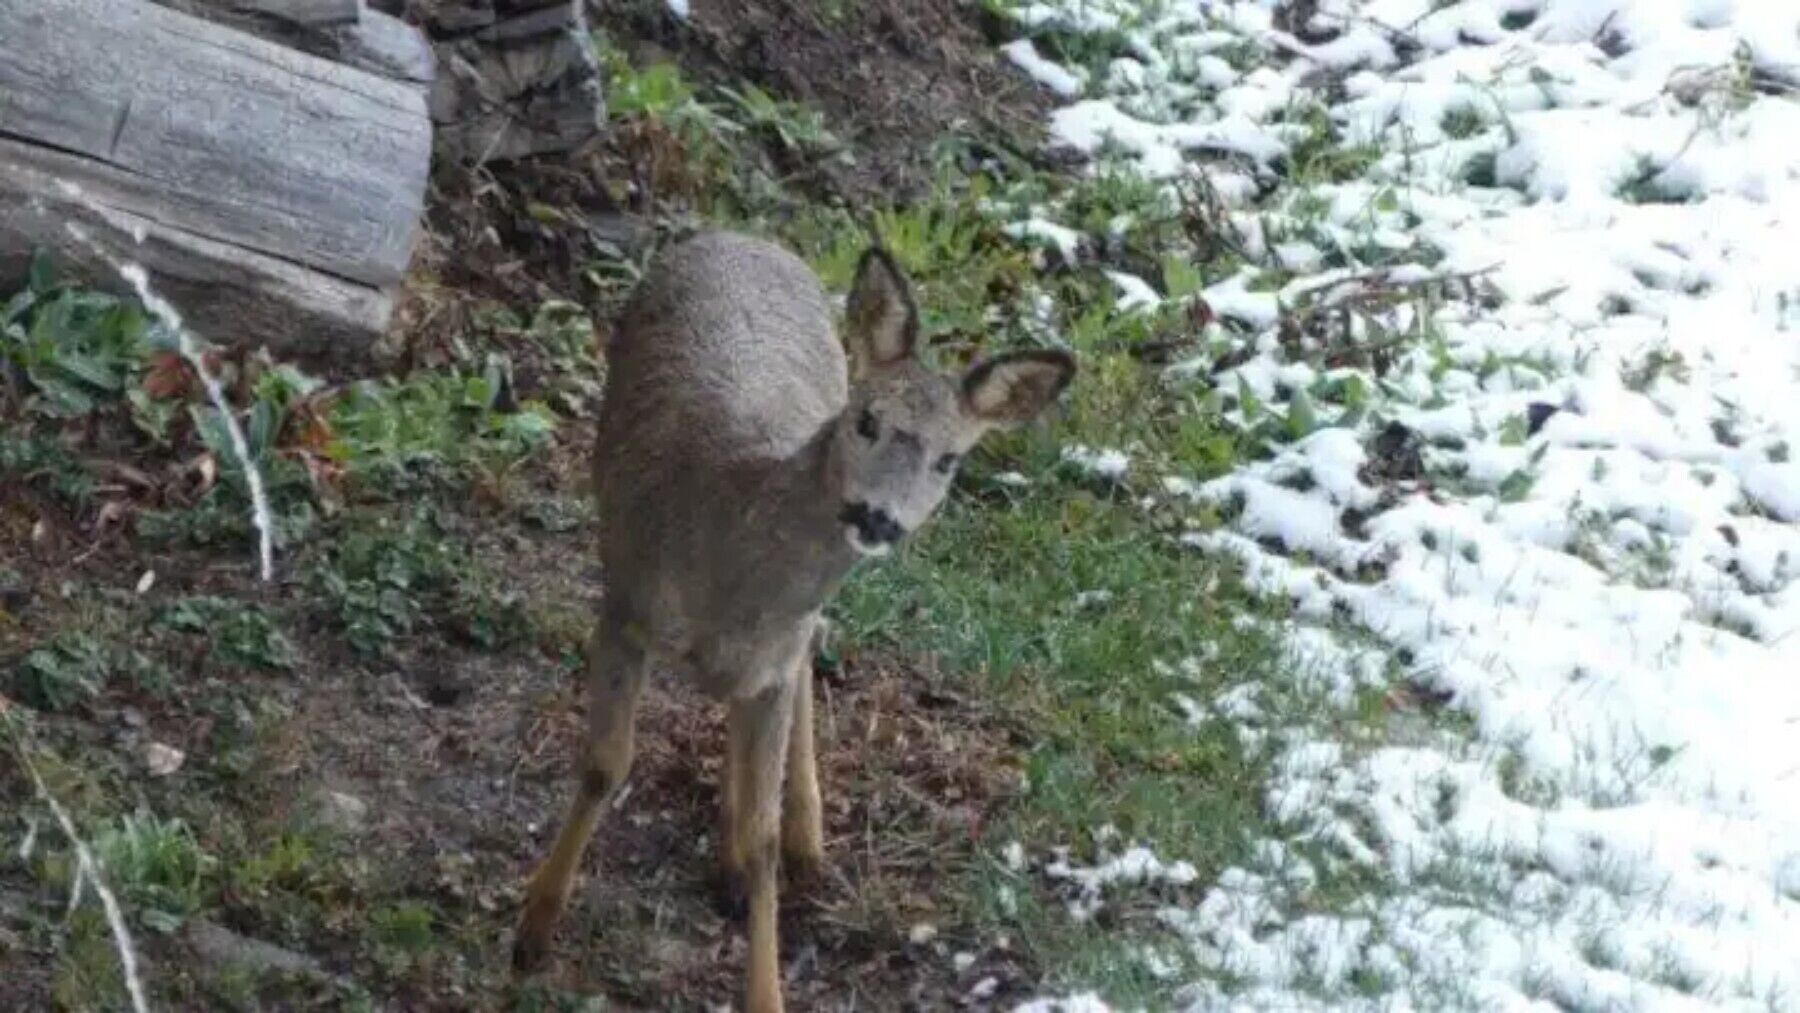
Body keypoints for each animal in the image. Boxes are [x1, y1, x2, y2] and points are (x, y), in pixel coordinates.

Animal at [511, 230, 1075, 1012]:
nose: (877, 517)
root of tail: (744, 237)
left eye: (949, 460)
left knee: (801, 671)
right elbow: (603, 765)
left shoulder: (772, 657)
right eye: (867, 420)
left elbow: (764, 836)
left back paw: (796, 839)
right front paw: (533, 927)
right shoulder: (626, 598)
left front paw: (766, 984)